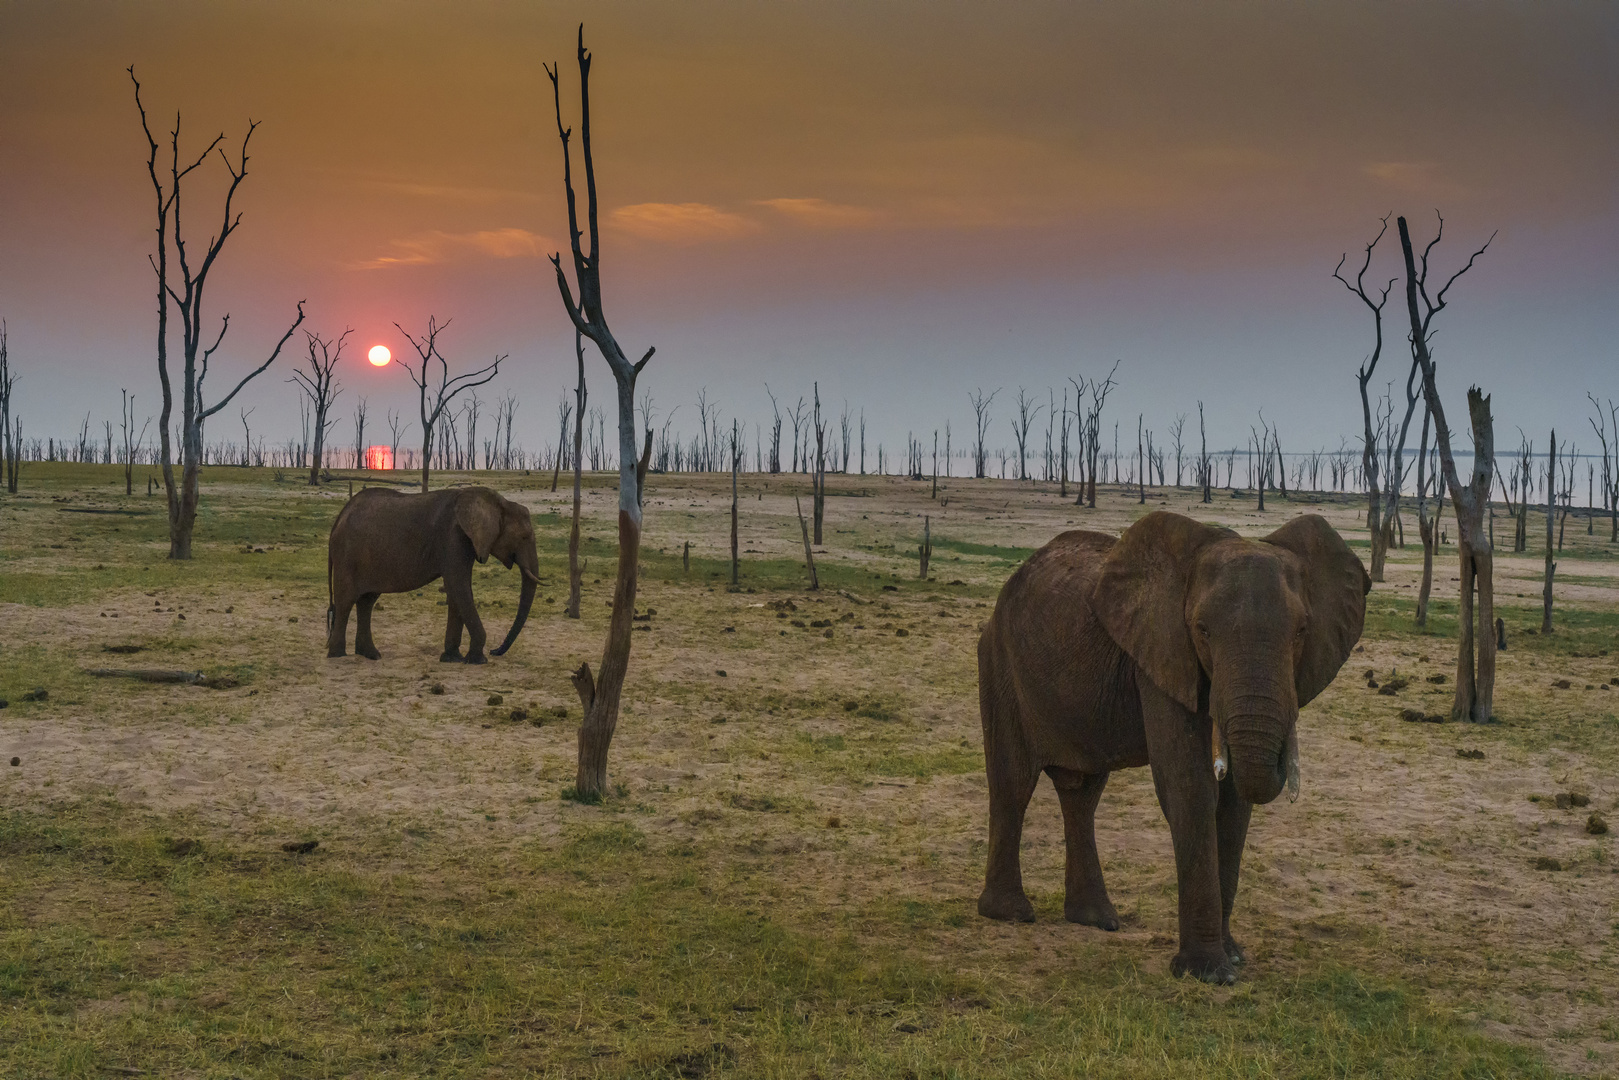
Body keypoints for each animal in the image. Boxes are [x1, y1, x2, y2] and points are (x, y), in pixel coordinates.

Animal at [325, 485, 540, 663]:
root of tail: (339, 518)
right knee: (346, 602)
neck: (498, 502)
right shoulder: (453, 537)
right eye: (524, 537)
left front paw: (452, 658)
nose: (495, 651)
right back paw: (338, 655)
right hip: (347, 556)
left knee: (367, 602)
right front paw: (477, 659)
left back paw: (370, 654)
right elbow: (459, 586)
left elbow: (456, 592)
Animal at [971, 511, 1366, 984]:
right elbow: (1189, 786)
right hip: (999, 662)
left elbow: (1233, 803)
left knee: (1082, 795)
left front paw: (1233, 958)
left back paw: (1096, 919)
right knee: (1013, 784)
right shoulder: (1161, 655)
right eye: (1202, 630)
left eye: (1302, 630)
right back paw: (1010, 914)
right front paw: (1209, 974)